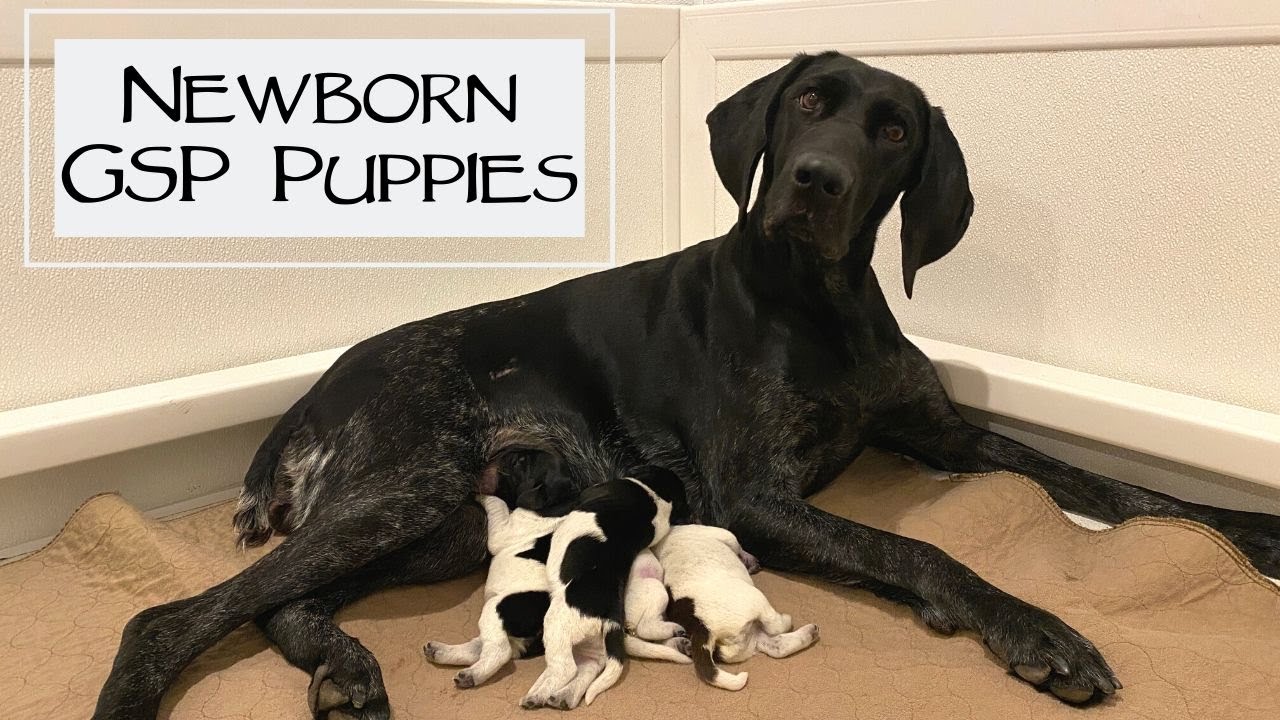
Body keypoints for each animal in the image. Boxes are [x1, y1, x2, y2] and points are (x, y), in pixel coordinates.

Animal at [519, 466, 691, 707]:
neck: (657, 495)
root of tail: (611, 617)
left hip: (556, 624)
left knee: (566, 669)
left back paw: (541, 694)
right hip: (591, 644)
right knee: (586, 668)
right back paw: (554, 695)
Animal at [660, 520, 819, 691]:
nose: (757, 564)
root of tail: (702, 628)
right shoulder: (726, 535)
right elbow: (738, 546)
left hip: (750, 639)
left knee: (777, 646)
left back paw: (810, 633)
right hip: (755, 601)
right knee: (776, 626)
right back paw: (790, 622)